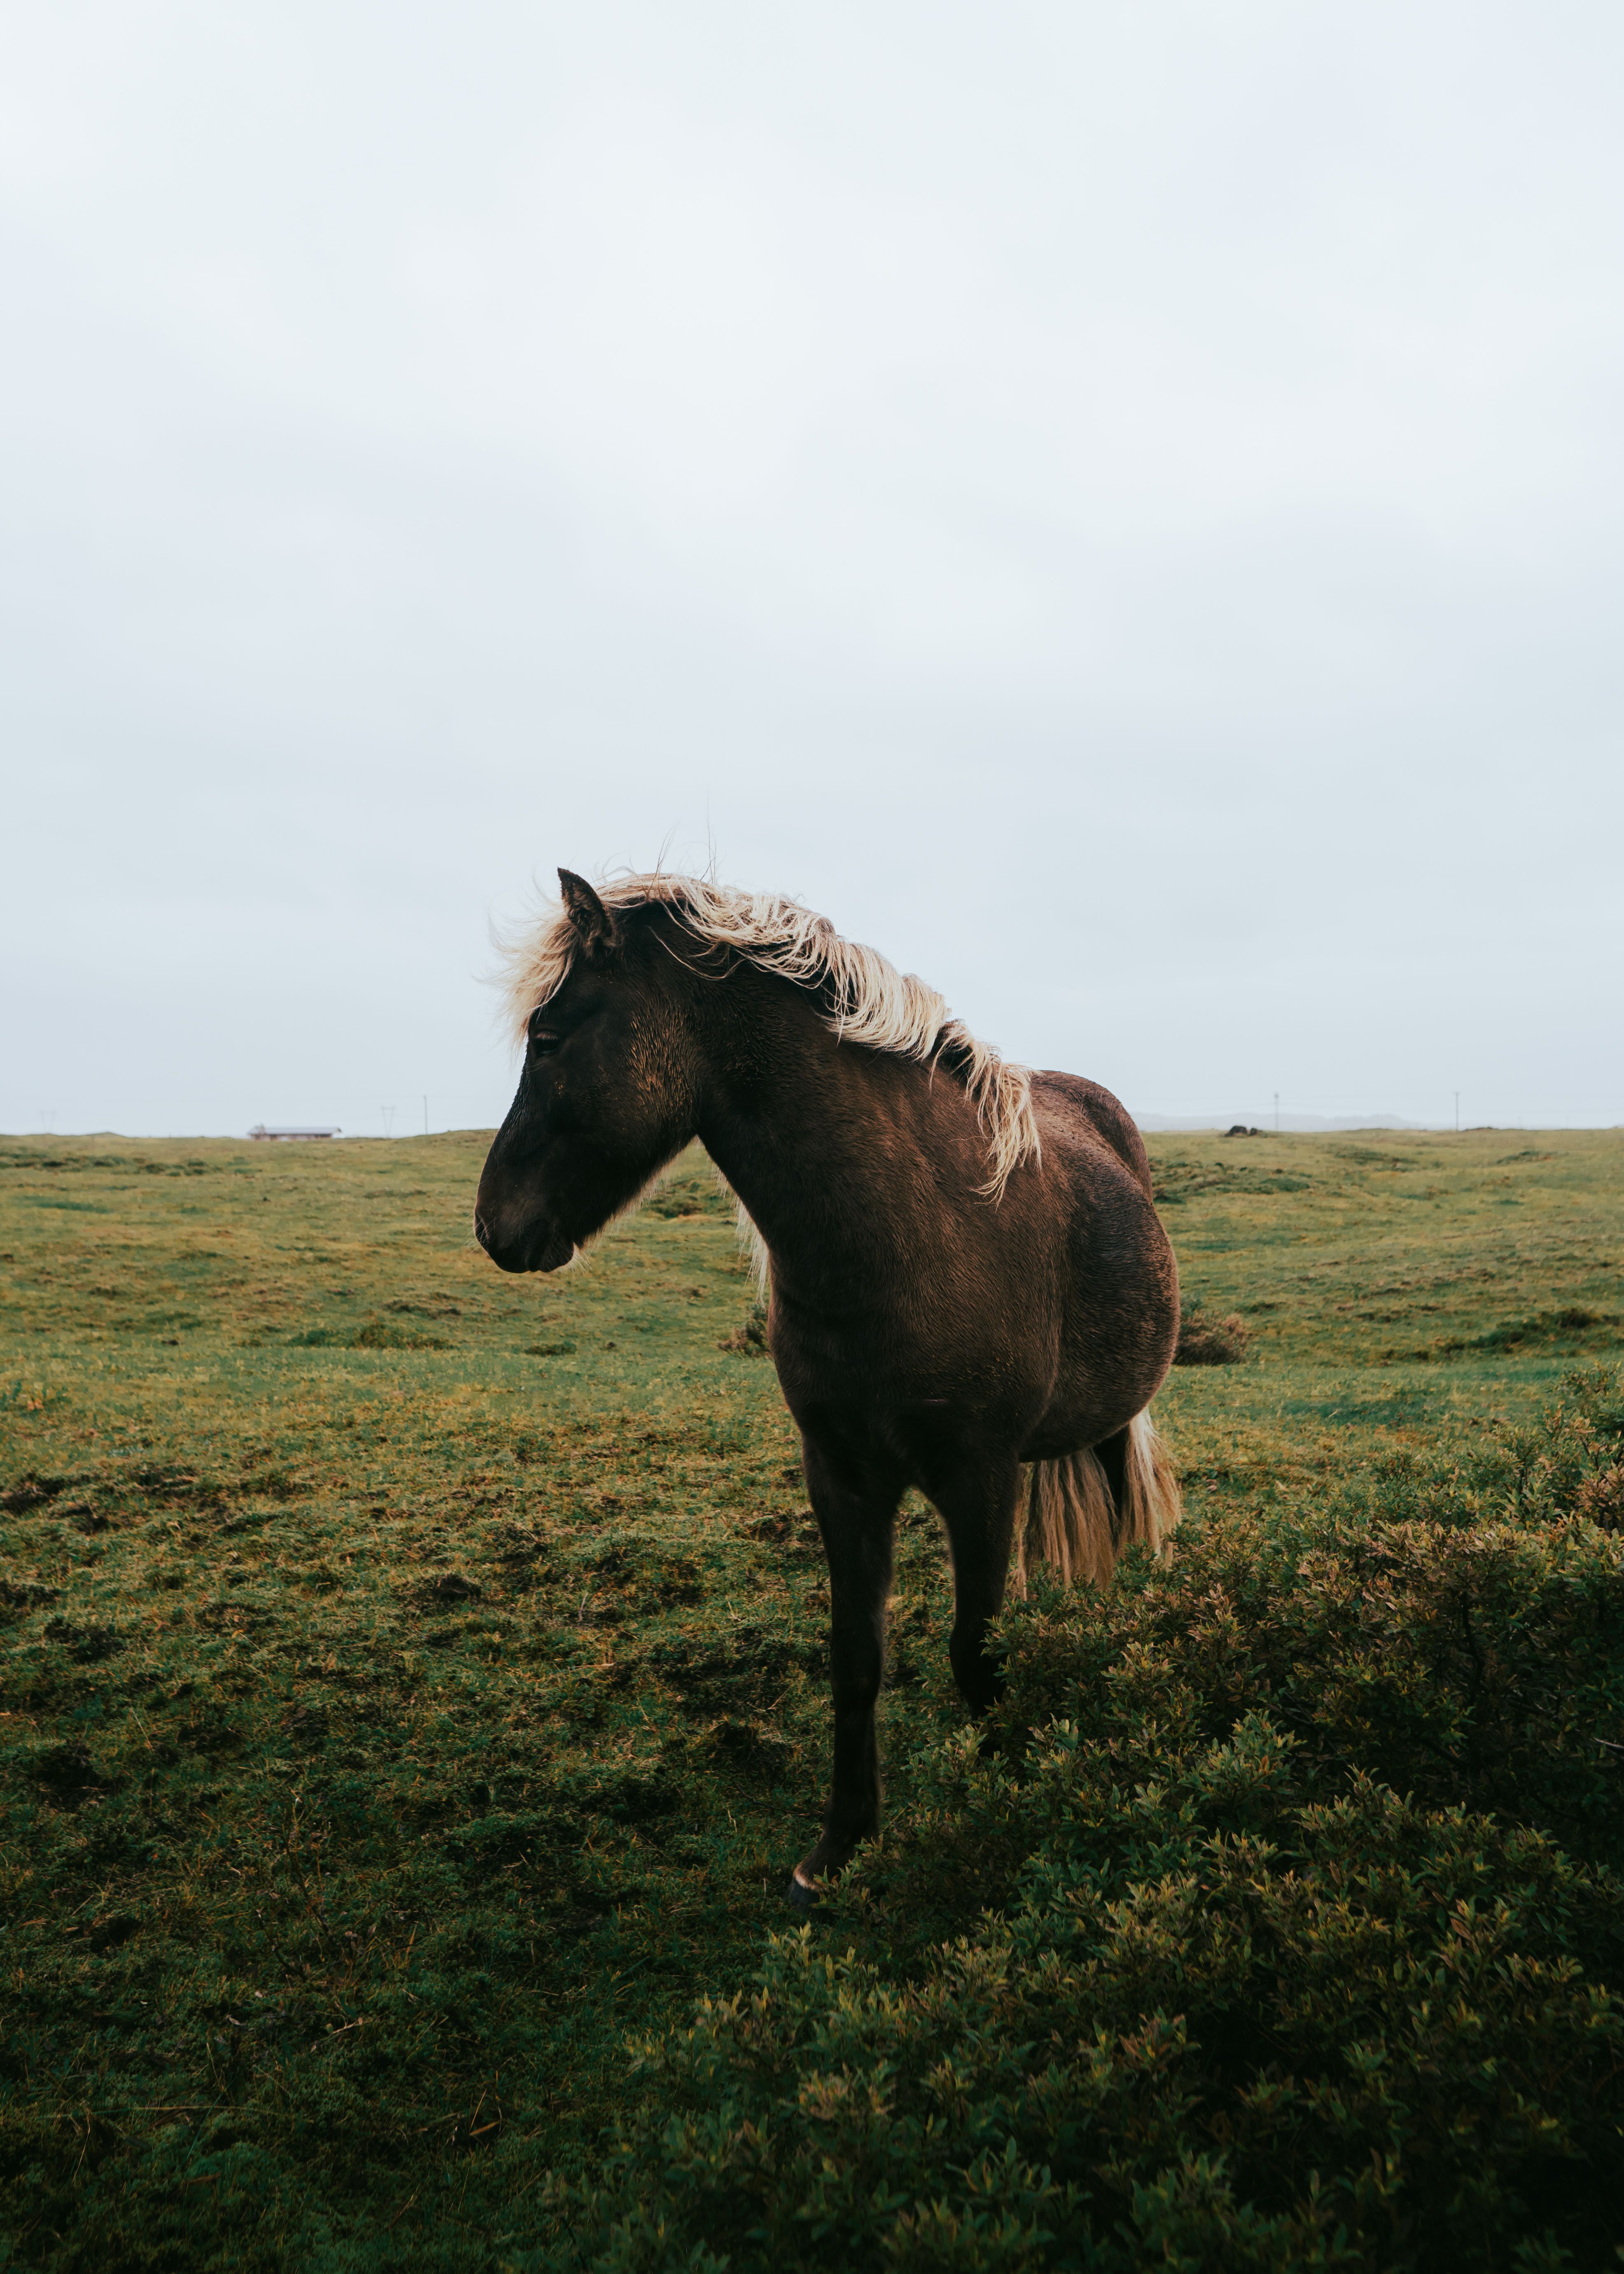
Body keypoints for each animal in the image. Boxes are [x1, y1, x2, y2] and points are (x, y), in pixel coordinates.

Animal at [474, 870, 1182, 1904]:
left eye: (551, 1037)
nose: (492, 1224)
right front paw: (839, 1844)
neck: (905, 1237)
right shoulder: (841, 1475)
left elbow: (975, 1653)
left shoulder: (980, 1478)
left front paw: (1005, 1797)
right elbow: (856, 1659)